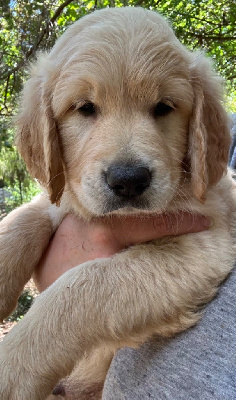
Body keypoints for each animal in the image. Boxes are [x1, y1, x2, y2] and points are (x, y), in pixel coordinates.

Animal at [0, 6, 236, 400]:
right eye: (85, 108)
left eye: (164, 107)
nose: (129, 180)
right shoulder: (63, 197)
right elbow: (22, 221)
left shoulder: (207, 244)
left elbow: (85, 284)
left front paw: (11, 367)